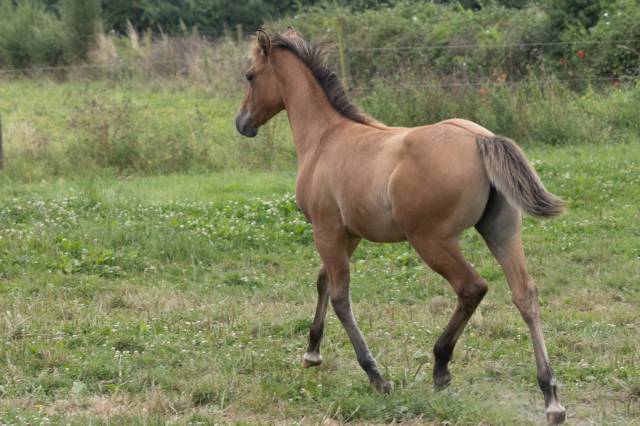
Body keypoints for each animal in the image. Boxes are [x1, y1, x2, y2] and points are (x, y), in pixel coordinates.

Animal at [234, 28, 564, 424]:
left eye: (250, 76)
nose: (242, 123)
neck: (326, 136)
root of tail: (480, 139)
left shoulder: (326, 230)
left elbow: (340, 296)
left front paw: (376, 376)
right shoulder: (349, 234)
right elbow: (323, 282)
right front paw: (312, 353)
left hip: (431, 240)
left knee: (472, 287)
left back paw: (441, 366)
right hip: (501, 232)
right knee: (525, 295)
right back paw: (551, 397)